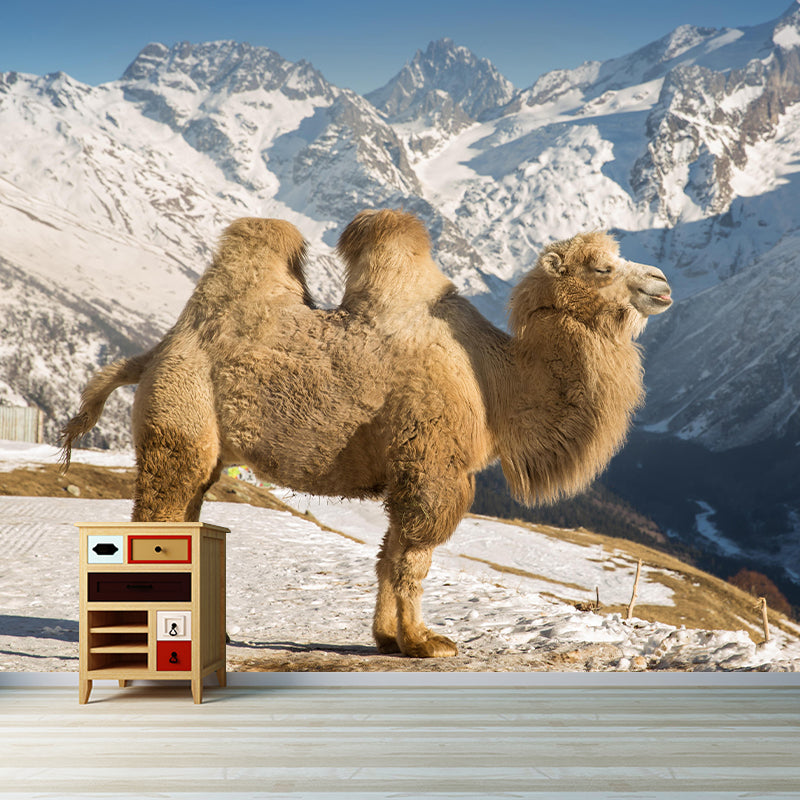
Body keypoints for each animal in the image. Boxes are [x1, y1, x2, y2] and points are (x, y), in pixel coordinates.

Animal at [61, 210, 672, 658]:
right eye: (600, 267)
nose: (662, 283)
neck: (494, 380)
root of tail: (155, 352)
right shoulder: (431, 464)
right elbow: (414, 557)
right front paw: (425, 642)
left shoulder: (410, 467)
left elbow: (389, 552)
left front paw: (387, 639)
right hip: (181, 421)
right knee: (156, 516)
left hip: (207, 452)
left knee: (184, 521)